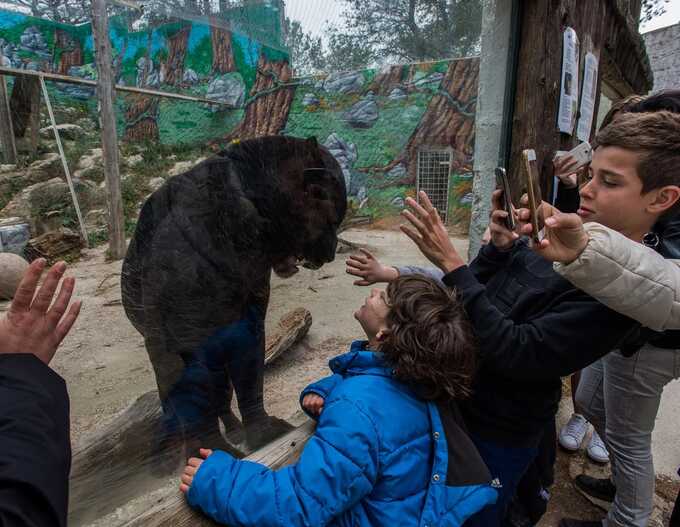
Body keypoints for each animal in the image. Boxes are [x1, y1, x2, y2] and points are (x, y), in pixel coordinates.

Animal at [117, 136, 348, 454]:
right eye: (334, 217)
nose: (334, 249)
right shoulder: (175, 344)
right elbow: (191, 403)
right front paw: (210, 451)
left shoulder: (248, 324)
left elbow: (249, 380)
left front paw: (263, 434)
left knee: (222, 394)